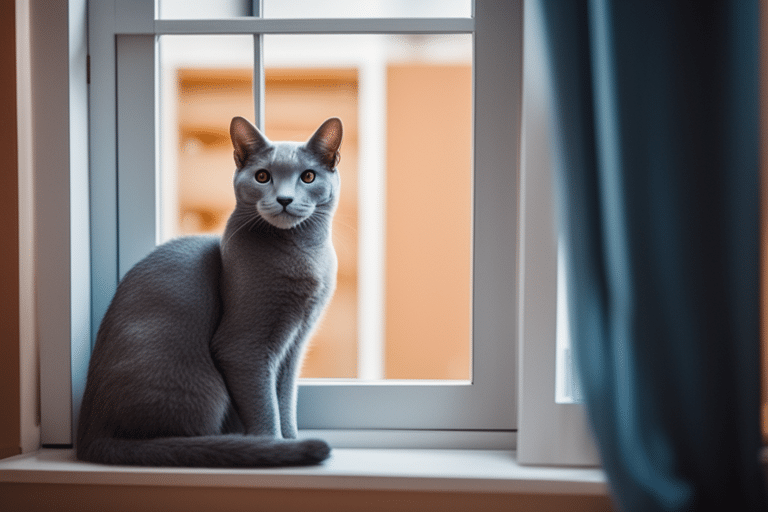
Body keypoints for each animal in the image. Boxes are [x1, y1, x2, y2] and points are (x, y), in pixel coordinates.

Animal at [77, 117, 342, 468]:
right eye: (262, 176)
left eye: (308, 176)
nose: (284, 199)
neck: (306, 254)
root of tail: (90, 435)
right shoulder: (244, 348)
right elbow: (265, 407)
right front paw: (274, 445)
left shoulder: (294, 344)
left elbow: (284, 401)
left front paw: (290, 440)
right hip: (204, 386)